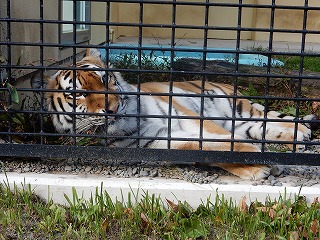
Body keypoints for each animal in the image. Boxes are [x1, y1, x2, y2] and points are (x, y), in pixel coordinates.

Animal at [44, 48, 318, 180]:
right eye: (79, 94)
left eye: (105, 78)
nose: (113, 107)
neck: (130, 122)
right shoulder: (159, 142)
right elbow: (209, 150)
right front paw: (256, 167)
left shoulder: (187, 117)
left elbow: (221, 141)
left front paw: (260, 158)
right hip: (241, 122)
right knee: (261, 128)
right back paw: (298, 137)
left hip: (238, 108)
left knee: (266, 118)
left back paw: (302, 134)